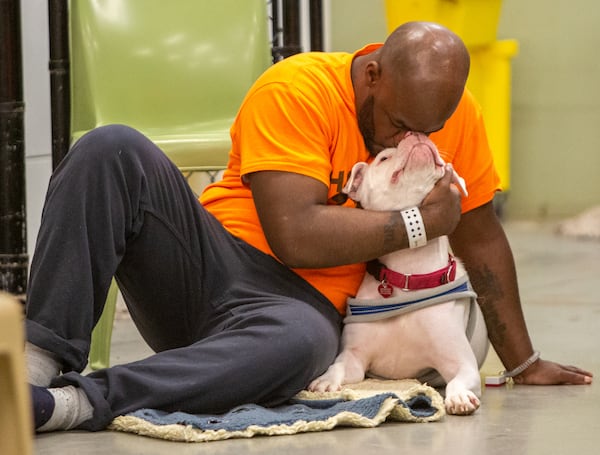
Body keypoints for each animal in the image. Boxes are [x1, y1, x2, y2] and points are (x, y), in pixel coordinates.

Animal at [312, 133, 490, 416]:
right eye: (384, 158)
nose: (416, 134)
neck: (409, 274)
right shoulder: (354, 358)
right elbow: (338, 366)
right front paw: (326, 380)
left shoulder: (462, 363)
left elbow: (458, 380)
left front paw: (460, 397)